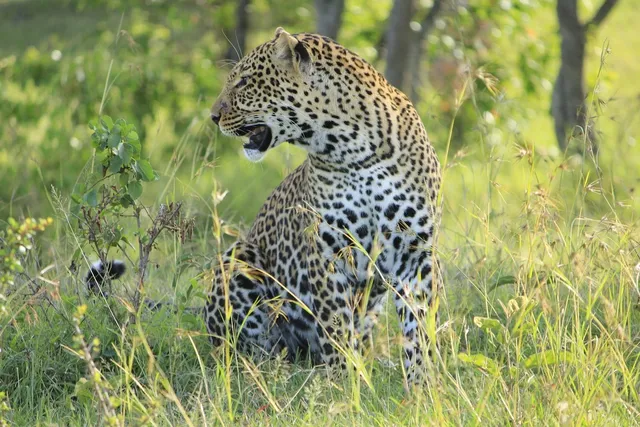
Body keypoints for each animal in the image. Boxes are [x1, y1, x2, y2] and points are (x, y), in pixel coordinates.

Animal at [207, 27, 442, 385]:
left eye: (244, 82)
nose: (213, 116)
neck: (354, 149)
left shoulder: (415, 252)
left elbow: (419, 327)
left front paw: (422, 384)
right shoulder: (327, 252)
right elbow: (336, 327)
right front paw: (345, 384)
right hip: (238, 259)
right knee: (248, 347)